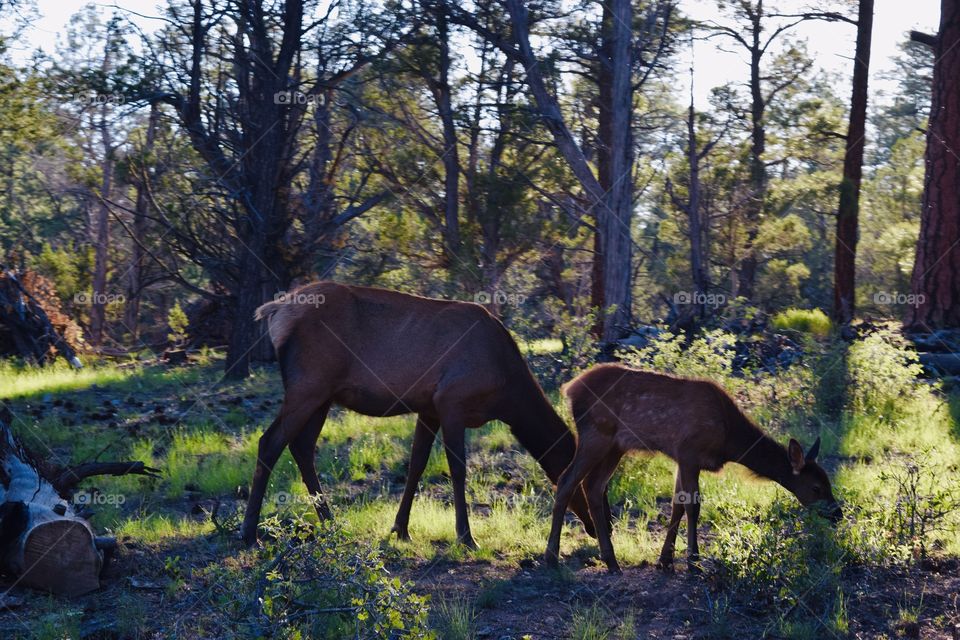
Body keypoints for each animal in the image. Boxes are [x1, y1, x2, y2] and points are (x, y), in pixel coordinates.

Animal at [240, 281, 597, 548]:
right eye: (580, 481)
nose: (596, 527)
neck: (507, 394)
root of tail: (274, 311)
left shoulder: (428, 408)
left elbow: (416, 465)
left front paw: (400, 529)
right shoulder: (452, 401)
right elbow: (458, 470)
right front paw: (466, 537)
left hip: (323, 395)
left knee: (301, 446)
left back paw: (330, 522)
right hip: (308, 385)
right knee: (270, 442)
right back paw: (249, 534)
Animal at [544, 363, 842, 574]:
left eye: (829, 482)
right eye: (816, 487)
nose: (837, 514)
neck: (729, 438)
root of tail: (569, 388)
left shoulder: (681, 458)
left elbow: (677, 504)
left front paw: (665, 560)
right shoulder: (690, 453)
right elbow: (692, 506)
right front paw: (693, 561)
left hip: (616, 445)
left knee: (593, 486)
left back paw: (611, 561)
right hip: (596, 433)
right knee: (567, 479)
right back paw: (551, 557)